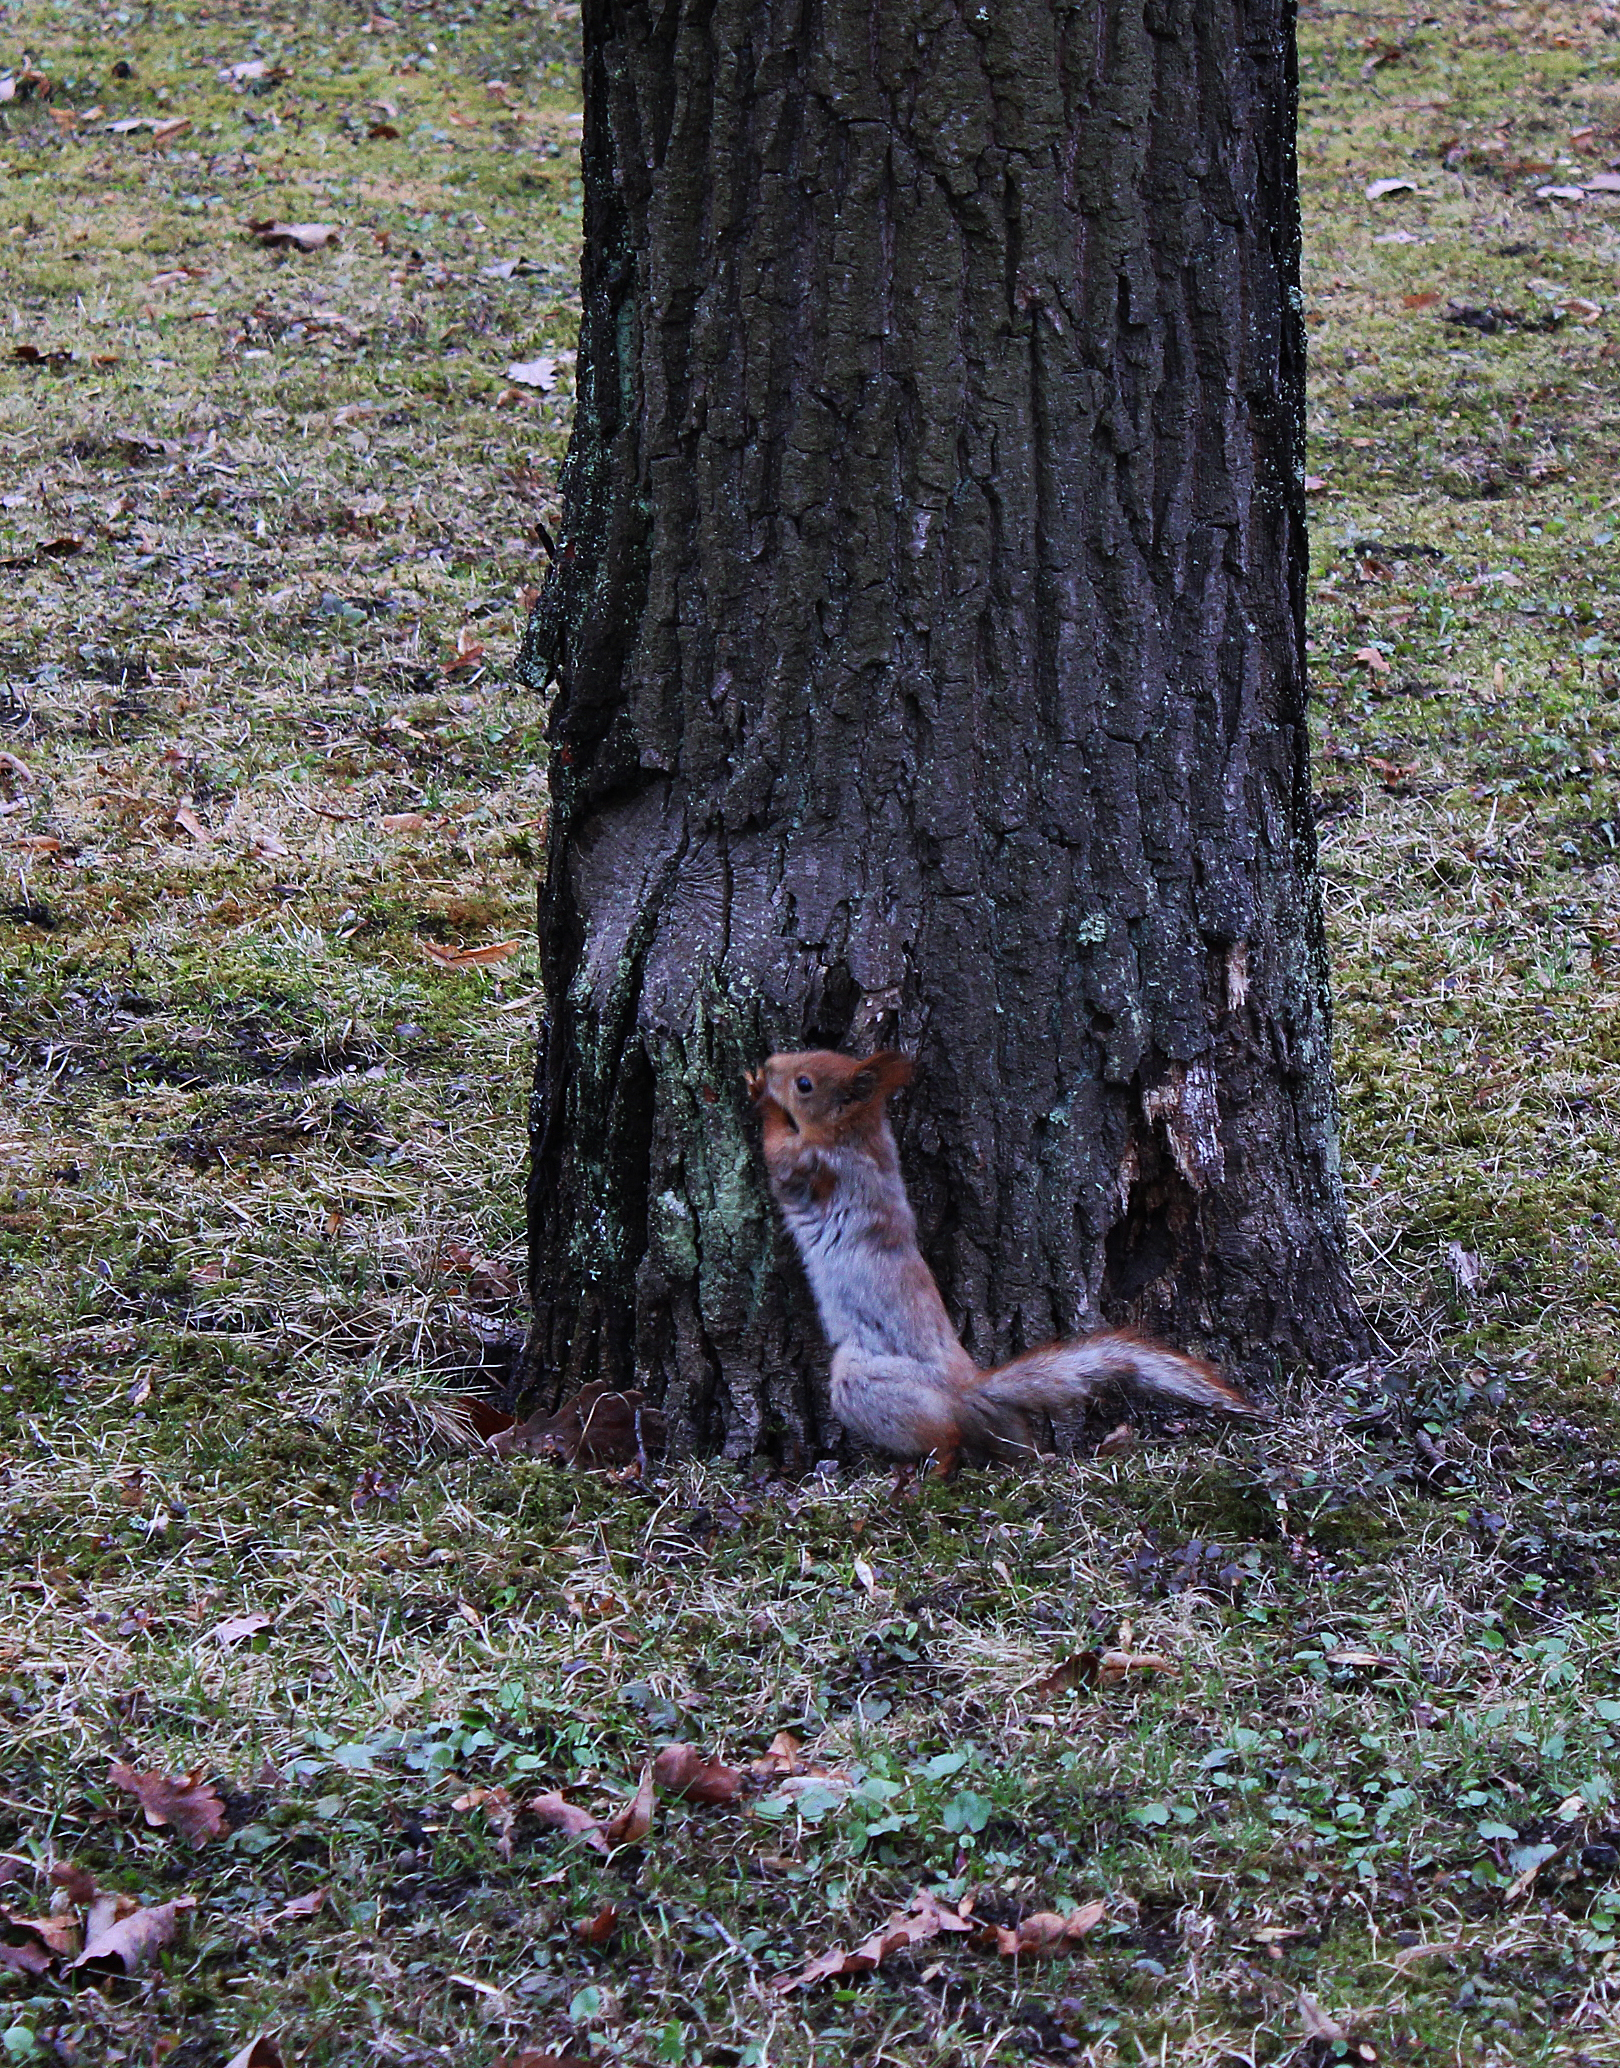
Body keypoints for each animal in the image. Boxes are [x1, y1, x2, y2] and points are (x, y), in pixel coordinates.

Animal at [748, 1050, 1266, 1472]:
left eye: (805, 1083)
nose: (772, 1063)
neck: (858, 1137)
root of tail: (968, 1389)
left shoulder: (811, 1167)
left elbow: (776, 1154)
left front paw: (760, 1097)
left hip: (867, 1381)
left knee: (945, 1436)